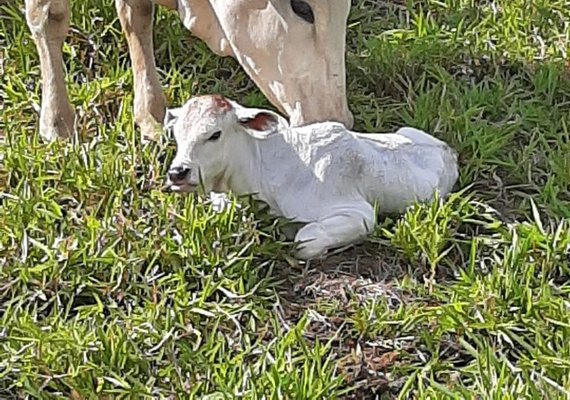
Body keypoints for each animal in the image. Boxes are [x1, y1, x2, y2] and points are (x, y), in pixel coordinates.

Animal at [24, 0, 352, 141]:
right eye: (301, 7)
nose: (337, 120)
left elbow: (138, 12)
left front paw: (152, 114)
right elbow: (49, 15)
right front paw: (57, 122)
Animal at [164, 95, 458, 260]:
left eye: (215, 134)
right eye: (176, 133)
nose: (178, 172)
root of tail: (449, 151)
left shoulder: (359, 212)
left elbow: (304, 240)